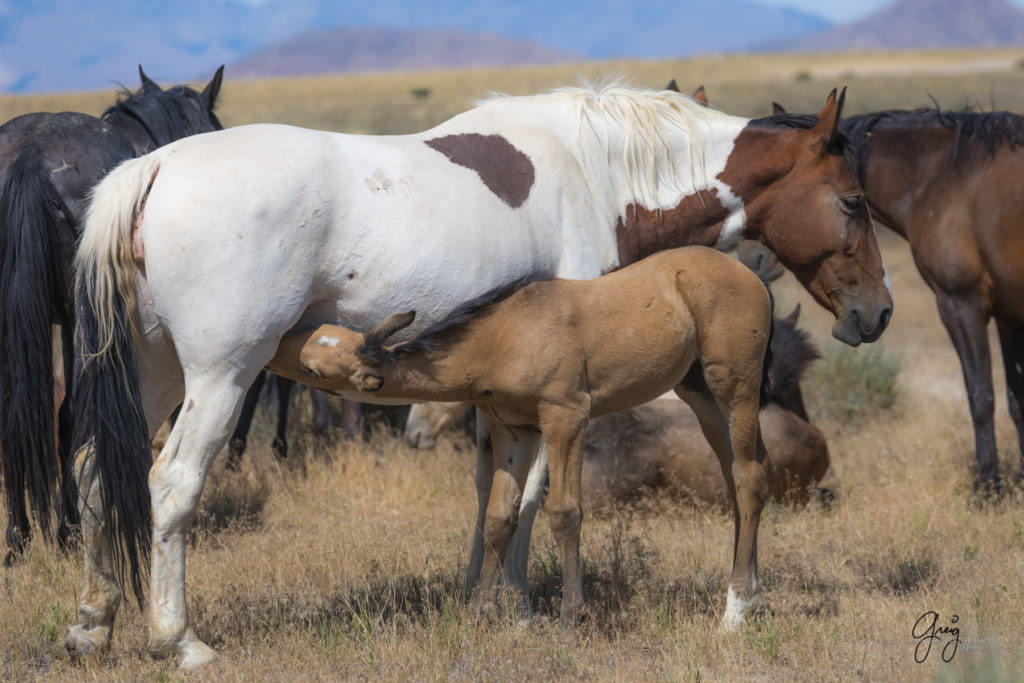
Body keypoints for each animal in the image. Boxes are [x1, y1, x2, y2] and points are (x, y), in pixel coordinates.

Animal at [268, 244, 770, 630]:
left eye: (314, 370)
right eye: (319, 335)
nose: (274, 348)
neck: (505, 337)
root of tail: (752, 276)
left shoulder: (566, 419)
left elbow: (564, 513)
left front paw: (569, 616)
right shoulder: (513, 430)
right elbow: (498, 517)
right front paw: (477, 613)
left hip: (736, 388)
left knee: (748, 478)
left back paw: (734, 611)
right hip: (700, 395)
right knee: (742, 474)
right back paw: (751, 588)